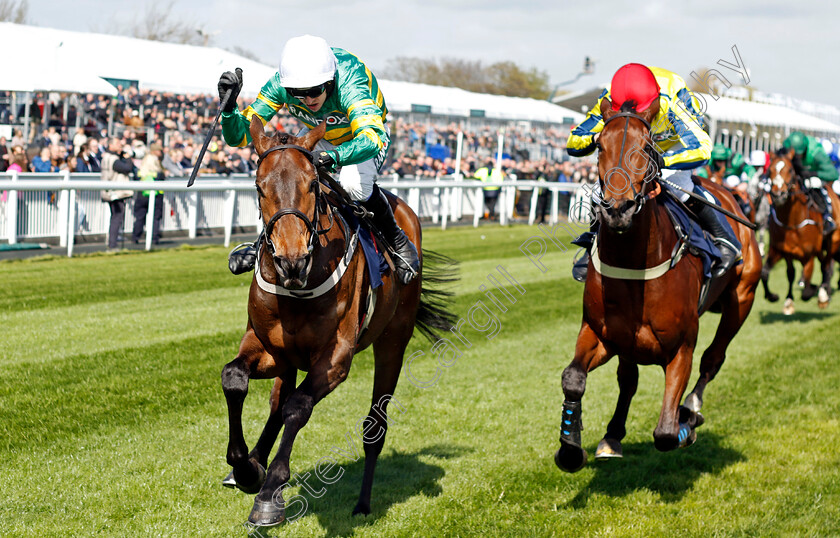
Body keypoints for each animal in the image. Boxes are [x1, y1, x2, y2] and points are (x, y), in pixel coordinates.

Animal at [218, 117, 452, 524]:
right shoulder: (269, 347)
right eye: (259, 187)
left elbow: (298, 407)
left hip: (393, 342)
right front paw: (245, 468)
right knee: (277, 401)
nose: (291, 260)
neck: (299, 288)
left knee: (374, 426)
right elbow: (235, 379)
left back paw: (362, 502)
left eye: (313, 183)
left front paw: (269, 493)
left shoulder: (336, 358)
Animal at [556, 98, 760, 472]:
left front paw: (685, 425)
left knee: (713, 357)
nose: (618, 210)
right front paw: (570, 448)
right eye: (599, 146)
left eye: (648, 147)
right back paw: (613, 435)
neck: (634, 266)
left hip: (743, 298)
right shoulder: (601, 333)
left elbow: (665, 432)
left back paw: (691, 409)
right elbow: (573, 378)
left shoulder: (682, 347)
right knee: (628, 380)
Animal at [760, 149, 840, 312]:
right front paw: (779, 298)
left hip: (833, 241)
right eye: (770, 170)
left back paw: (823, 294)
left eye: (790, 170)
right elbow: (769, 273)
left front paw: (814, 290)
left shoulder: (808, 255)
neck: (792, 223)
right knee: (824, 264)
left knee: (827, 265)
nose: (778, 194)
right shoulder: (780, 250)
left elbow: (806, 288)